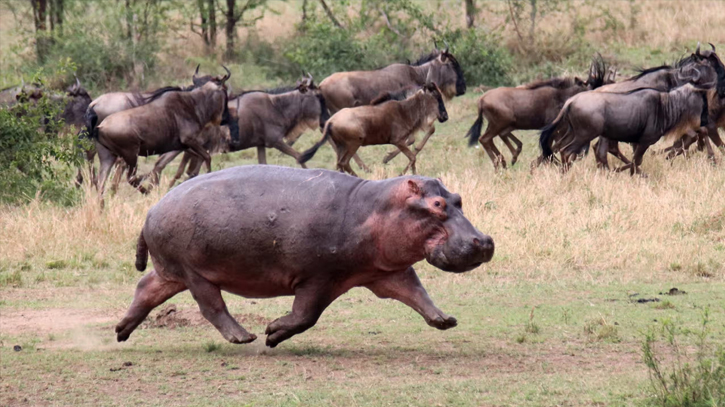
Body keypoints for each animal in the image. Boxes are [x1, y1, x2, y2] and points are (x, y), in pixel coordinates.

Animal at [298, 83, 446, 177]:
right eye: (437, 97)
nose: (445, 116)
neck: (405, 110)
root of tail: (330, 122)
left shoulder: (401, 141)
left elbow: (413, 155)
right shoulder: (397, 141)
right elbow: (412, 157)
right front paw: (402, 173)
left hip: (341, 146)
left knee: (339, 164)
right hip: (353, 143)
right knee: (344, 162)